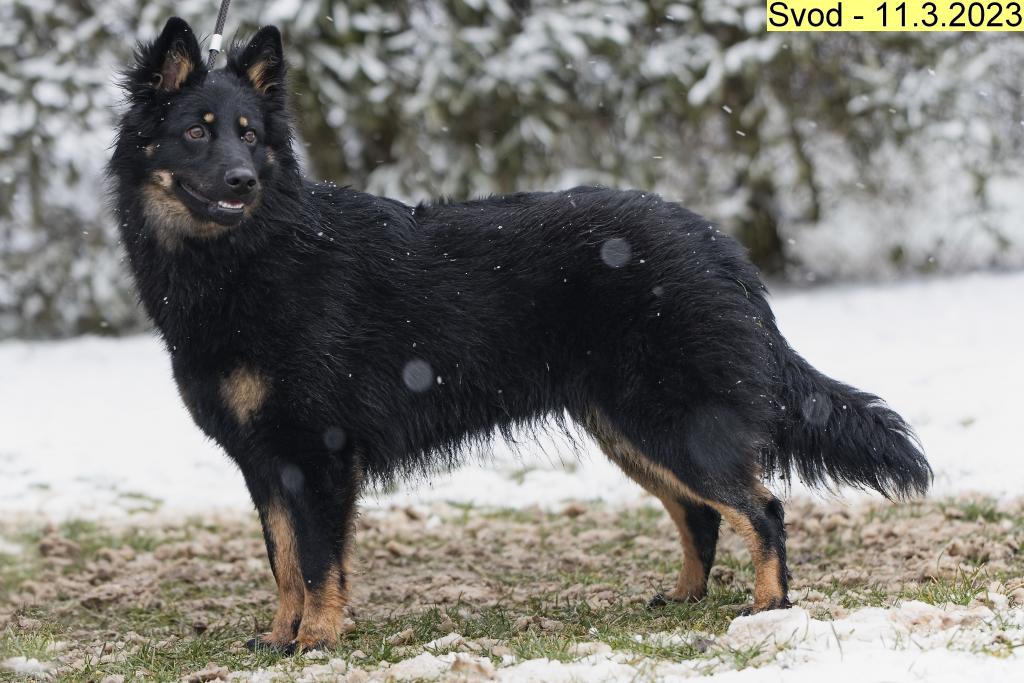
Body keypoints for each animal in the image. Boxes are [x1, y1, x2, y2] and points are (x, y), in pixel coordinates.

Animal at [108, 17, 932, 653]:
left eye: (249, 136)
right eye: (197, 133)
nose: (243, 180)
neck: (251, 255)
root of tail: (717, 244)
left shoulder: (318, 458)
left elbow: (314, 562)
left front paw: (316, 638)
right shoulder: (266, 463)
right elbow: (282, 560)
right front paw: (281, 636)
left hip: (672, 422)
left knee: (761, 508)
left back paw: (767, 608)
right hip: (627, 429)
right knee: (701, 513)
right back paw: (684, 598)